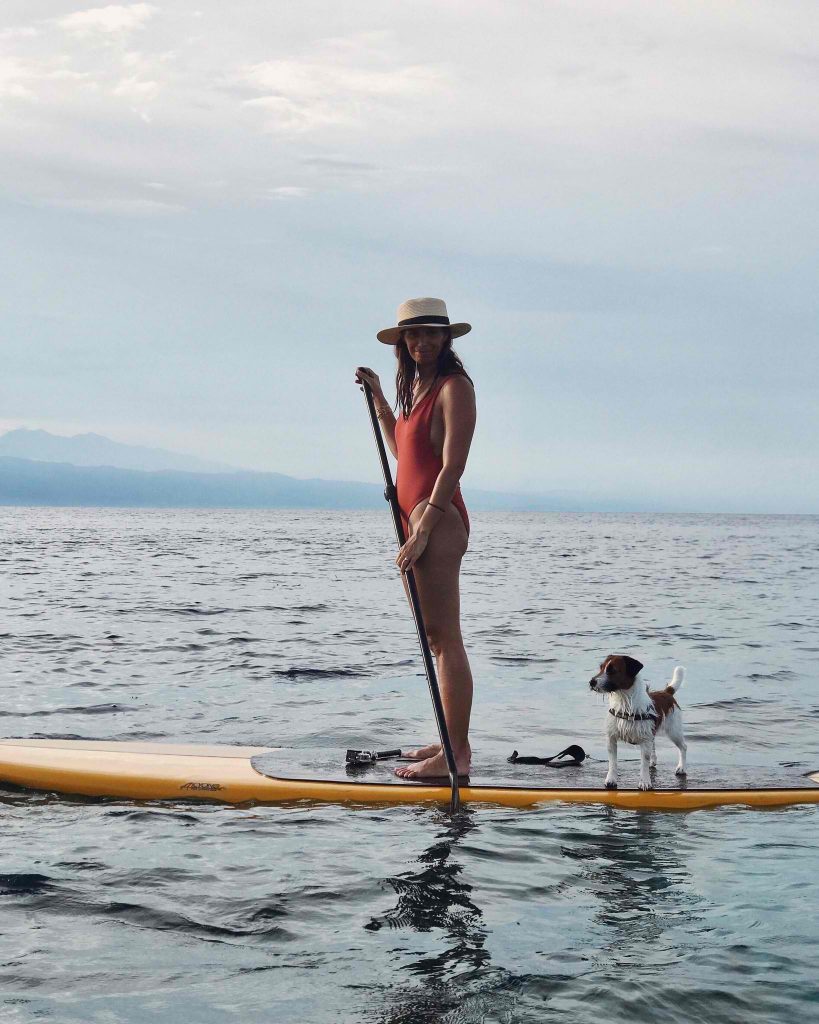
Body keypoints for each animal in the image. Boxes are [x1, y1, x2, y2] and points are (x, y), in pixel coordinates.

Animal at [589, 655, 683, 790]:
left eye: (612, 670)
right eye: (601, 667)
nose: (591, 682)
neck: (624, 703)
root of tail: (666, 692)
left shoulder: (645, 740)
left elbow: (644, 762)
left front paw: (645, 782)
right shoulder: (611, 738)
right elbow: (612, 762)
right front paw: (611, 779)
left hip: (674, 732)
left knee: (683, 748)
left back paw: (681, 767)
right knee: (654, 745)